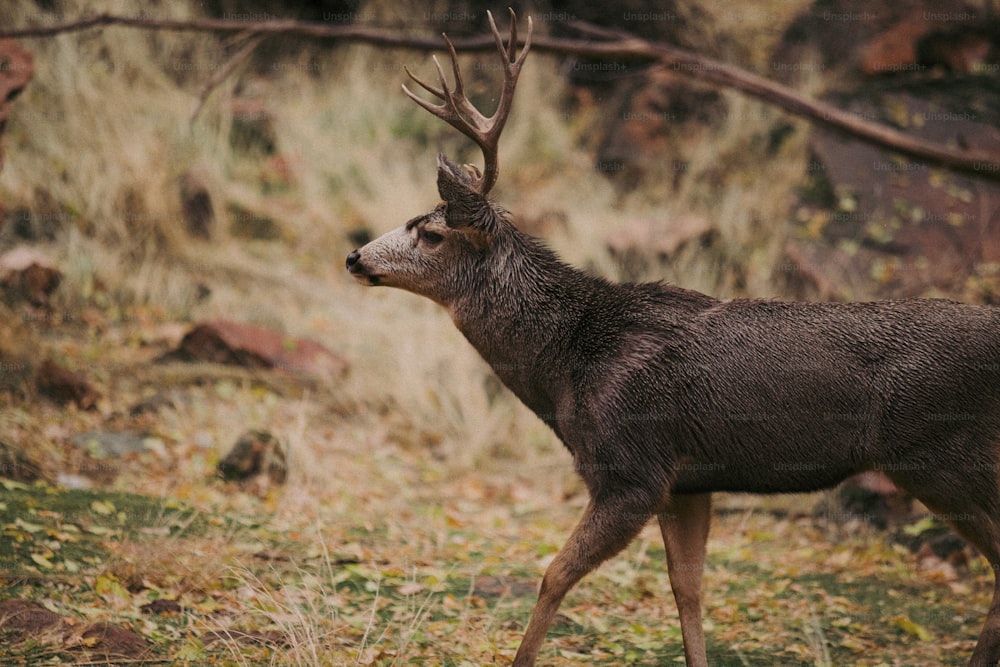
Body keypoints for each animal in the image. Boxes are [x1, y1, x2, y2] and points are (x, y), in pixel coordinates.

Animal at [346, 10, 1000, 667]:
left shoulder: (633, 469)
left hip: (948, 457)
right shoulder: (689, 480)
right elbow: (687, 589)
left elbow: (554, 574)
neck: (569, 360)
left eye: (430, 232)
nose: (354, 257)